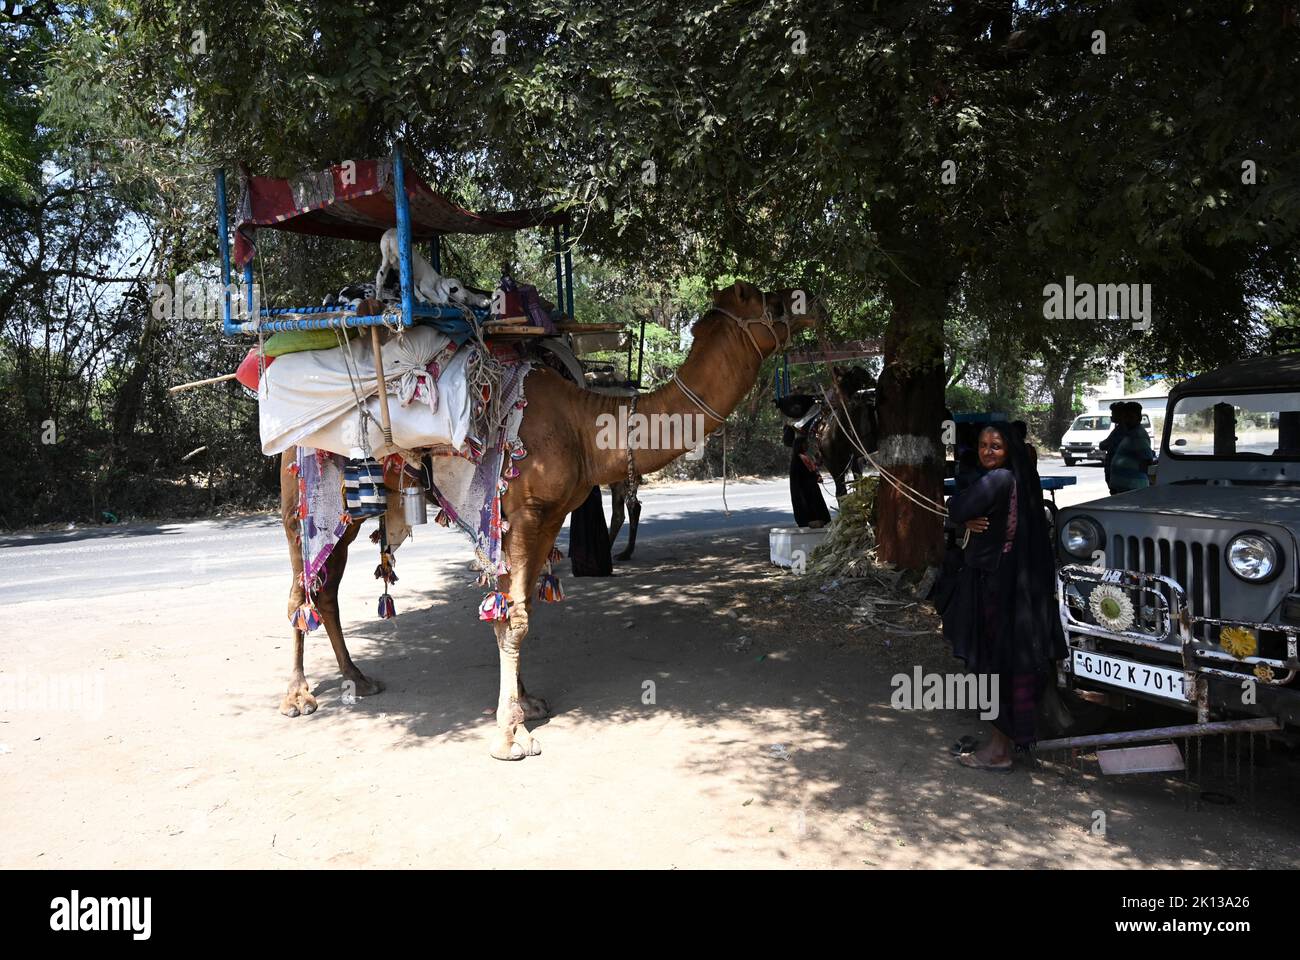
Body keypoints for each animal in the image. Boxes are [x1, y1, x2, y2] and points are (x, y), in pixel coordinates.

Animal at [280, 280, 816, 759]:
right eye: (758, 297)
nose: (805, 299)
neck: (584, 426)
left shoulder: (547, 515)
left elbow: (520, 611)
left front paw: (526, 704)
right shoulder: (520, 514)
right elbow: (512, 617)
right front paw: (508, 736)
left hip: (348, 512)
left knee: (324, 590)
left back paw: (357, 678)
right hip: (302, 499)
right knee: (298, 591)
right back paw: (298, 697)